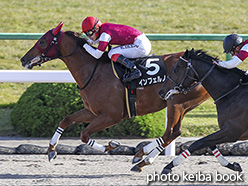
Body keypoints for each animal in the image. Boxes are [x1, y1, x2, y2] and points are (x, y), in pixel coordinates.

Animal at [20, 22, 209, 172]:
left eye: (42, 41)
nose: (23, 59)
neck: (94, 71)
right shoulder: (93, 111)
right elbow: (65, 120)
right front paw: (51, 150)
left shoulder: (112, 116)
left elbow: (84, 135)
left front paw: (111, 145)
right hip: (184, 105)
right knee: (174, 133)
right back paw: (142, 160)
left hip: (176, 103)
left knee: (169, 132)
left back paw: (141, 156)